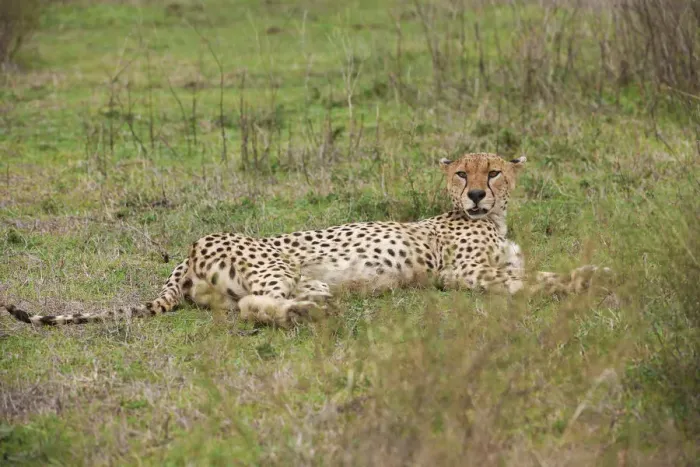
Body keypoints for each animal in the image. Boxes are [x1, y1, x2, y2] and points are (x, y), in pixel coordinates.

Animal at [3, 153, 608, 328]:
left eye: (494, 172)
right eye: (463, 174)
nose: (478, 194)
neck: (491, 220)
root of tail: (190, 248)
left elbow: (533, 272)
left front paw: (587, 274)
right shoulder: (463, 273)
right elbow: (530, 280)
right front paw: (583, 280)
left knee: (251, 304)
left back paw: (315, 304)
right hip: (276, 265)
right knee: (252, 305)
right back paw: (305, 311)